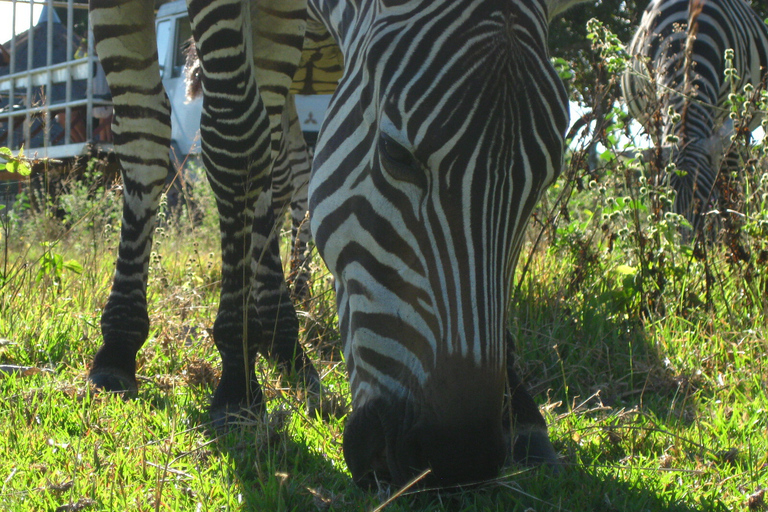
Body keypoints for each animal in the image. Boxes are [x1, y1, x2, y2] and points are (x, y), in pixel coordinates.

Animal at [85, 0, 584, 488]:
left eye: (546, 180)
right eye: (396, 154)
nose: (459, 457)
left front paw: (522, 411)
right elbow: (211, 141)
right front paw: (224, 377)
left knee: (279, 164)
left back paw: (286, 341)